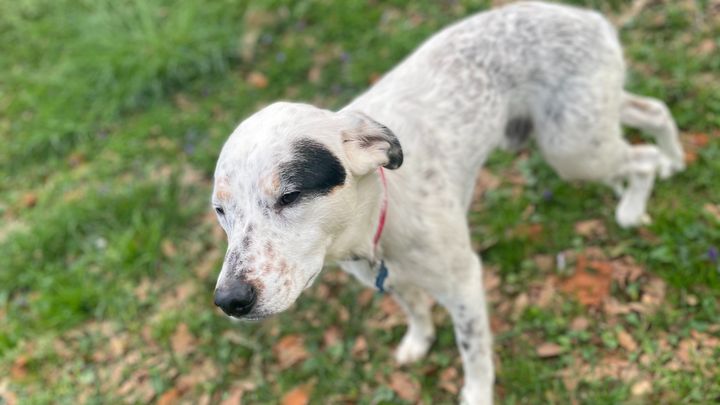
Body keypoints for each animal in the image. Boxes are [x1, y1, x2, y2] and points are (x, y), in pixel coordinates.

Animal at [211, 2, 684, 400]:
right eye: (220, 212)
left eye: (290, 195)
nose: (229, 301)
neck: (379, 216)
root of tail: (588, 17)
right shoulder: (389, 279)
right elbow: (416, 310)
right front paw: (418, 341)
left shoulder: (464, 284)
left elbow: (473, 351)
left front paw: (476, 394)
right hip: (589, 125)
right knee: (654, 110)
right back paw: (674, 158)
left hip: (574, 150)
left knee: (642, 158)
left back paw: (634, 204)